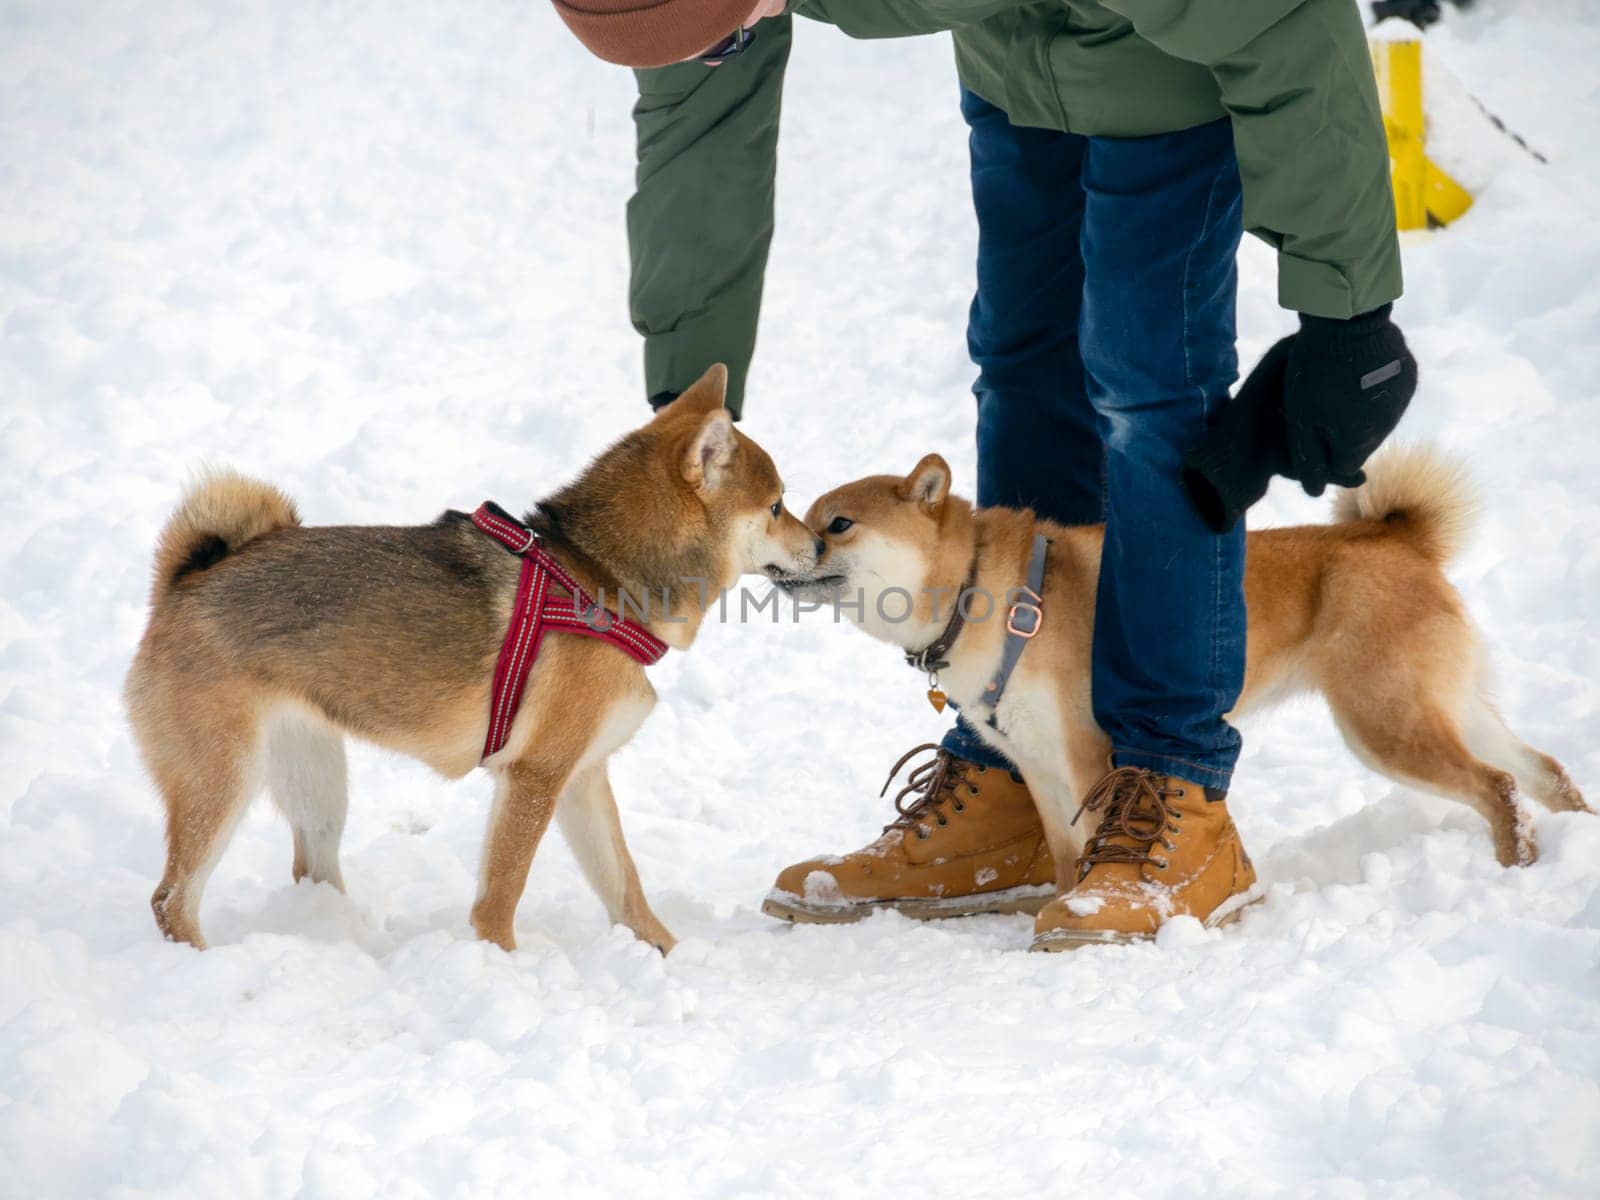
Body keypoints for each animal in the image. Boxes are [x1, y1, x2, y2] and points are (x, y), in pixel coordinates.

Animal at [124, 366, 819, 960]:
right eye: (777, 506)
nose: (820, 540)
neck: (596, 578)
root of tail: (185, 582)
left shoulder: (582, 777)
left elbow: (625, 885)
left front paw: (667, 955)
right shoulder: (536, 777)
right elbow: (501, 898)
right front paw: (503, 965)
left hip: (317, 784)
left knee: (309, 872)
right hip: (223, 781)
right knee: (169, 900)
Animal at [777, 448, 1587, 876]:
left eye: (838, 524)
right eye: (798, 513)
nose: (785, 551)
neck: (983, 589)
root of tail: (1396, 538)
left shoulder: (1087, 755)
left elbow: (1092, 843)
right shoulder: (1035, 760)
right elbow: (1064, 851)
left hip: (1382, 724)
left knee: (1497, 785)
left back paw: (1514, 863)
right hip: (1445, 708)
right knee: (1542, 771)